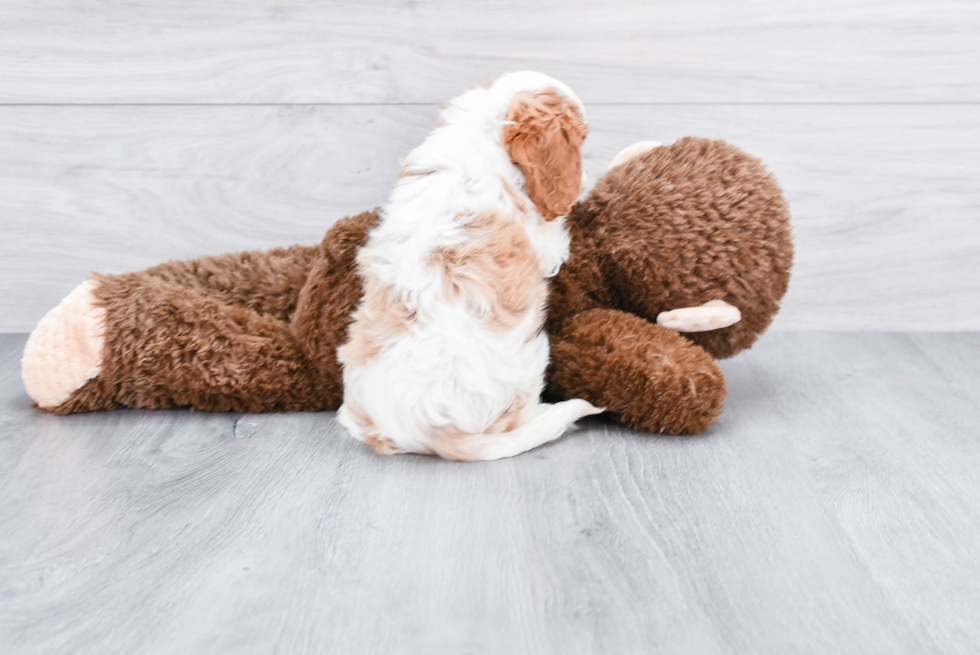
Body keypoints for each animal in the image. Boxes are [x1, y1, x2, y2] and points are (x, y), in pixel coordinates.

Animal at [336, 72, 600, 462]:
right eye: (580, 139)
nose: (585, 179)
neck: (480, 134)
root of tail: (428, 436)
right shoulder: (544, 241)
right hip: (529, 359)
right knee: (518, 420)